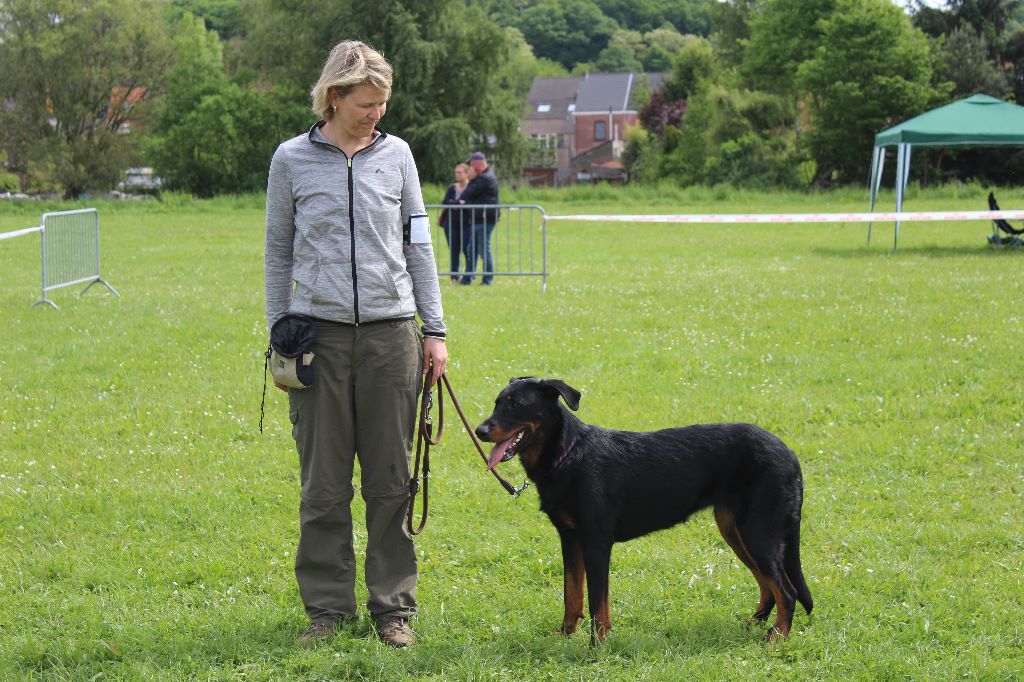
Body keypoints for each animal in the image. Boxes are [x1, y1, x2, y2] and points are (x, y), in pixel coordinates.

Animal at [473, 376, 815, 643]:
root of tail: (790, 455)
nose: (479, 431)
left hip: (757, 533)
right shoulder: (570, 539)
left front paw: (596, 648)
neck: (567, 455)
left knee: (786, 591)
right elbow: (572, 594)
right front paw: (566, 635)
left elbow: (597, 604)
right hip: (736, 531)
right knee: (768, 586)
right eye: (497, 402)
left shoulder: (596, 543)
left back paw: (776, 638)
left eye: (515, 405)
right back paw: (755, 625)